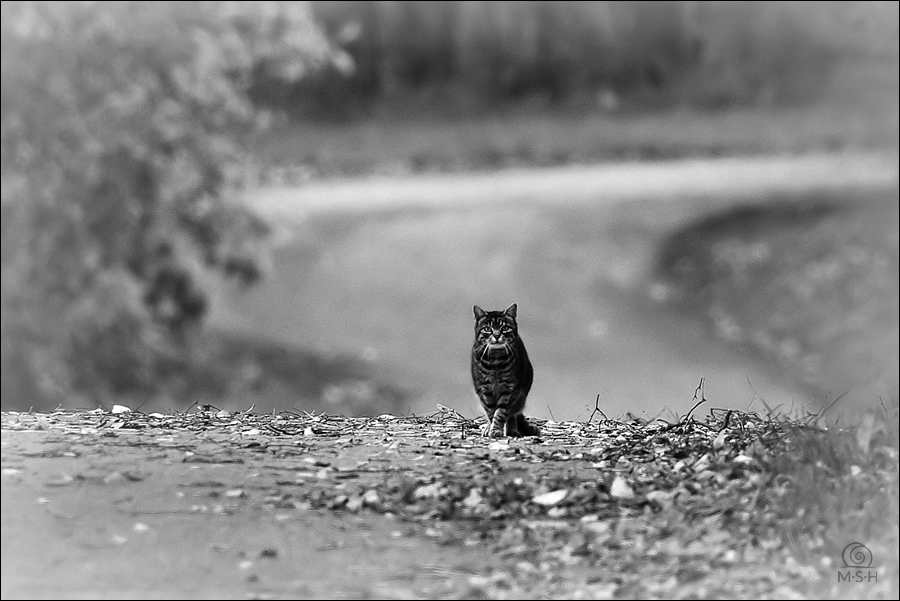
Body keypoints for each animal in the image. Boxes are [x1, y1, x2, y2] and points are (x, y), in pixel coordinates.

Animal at [472, 304, 540, 436]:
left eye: (505, 328)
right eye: (487, 329)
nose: (497, 335)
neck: (496, 360)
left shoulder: (510, 389)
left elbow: (501, 413)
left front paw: (496, 430)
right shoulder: (484, 389)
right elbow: (491, 412)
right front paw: (491, 428)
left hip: (520, 396)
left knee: (512, 414)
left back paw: (512, 430)